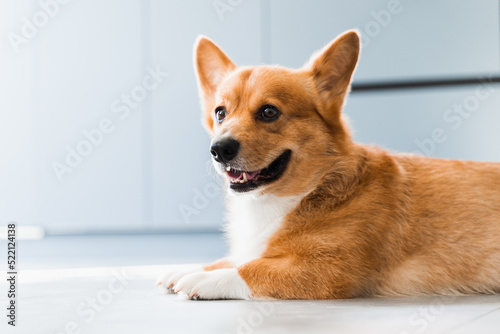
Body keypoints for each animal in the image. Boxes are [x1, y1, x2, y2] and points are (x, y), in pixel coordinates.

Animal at [157, 29, 500, 300]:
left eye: (269, 112)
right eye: (220, 113)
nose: (218, 149)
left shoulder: (329, 270)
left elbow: (251, 269)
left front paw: (204, 279)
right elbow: (237, 258)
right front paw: (186, 268)